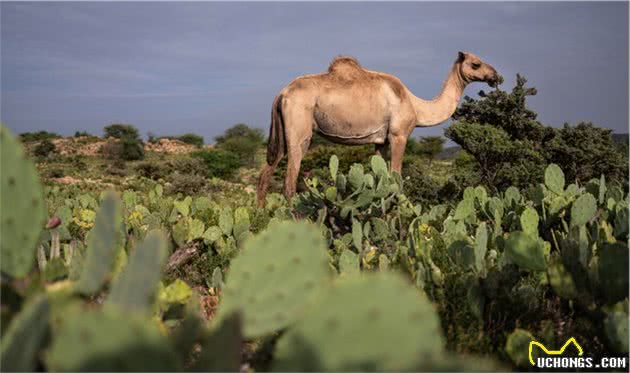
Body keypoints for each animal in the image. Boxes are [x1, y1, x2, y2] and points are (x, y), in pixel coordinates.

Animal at [260, 50, 502, 206]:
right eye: (476, 64)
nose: (495, 76)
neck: (416, 106)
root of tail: (281, 94)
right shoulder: (398, 135)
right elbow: (396, 178)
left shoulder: (380, 141)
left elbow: (380, 178)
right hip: (300, 130)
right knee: (289, 181)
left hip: (283, 132)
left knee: (266, 172)